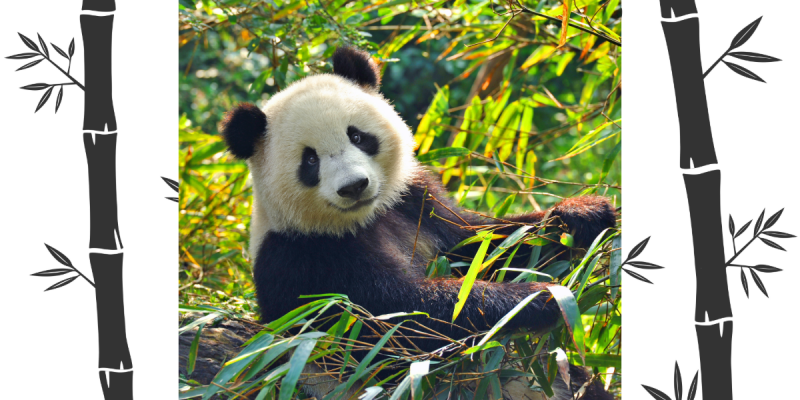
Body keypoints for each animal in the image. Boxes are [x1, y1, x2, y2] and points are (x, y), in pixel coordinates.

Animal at [220, 47, 616, 400]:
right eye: (310, 160)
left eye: (357, 136)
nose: (354, 186)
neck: (361, 219)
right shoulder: (303, 259)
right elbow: (395, 320)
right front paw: (536, 298)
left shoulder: (416, 203)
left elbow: (484, 245)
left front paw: (580, 215)